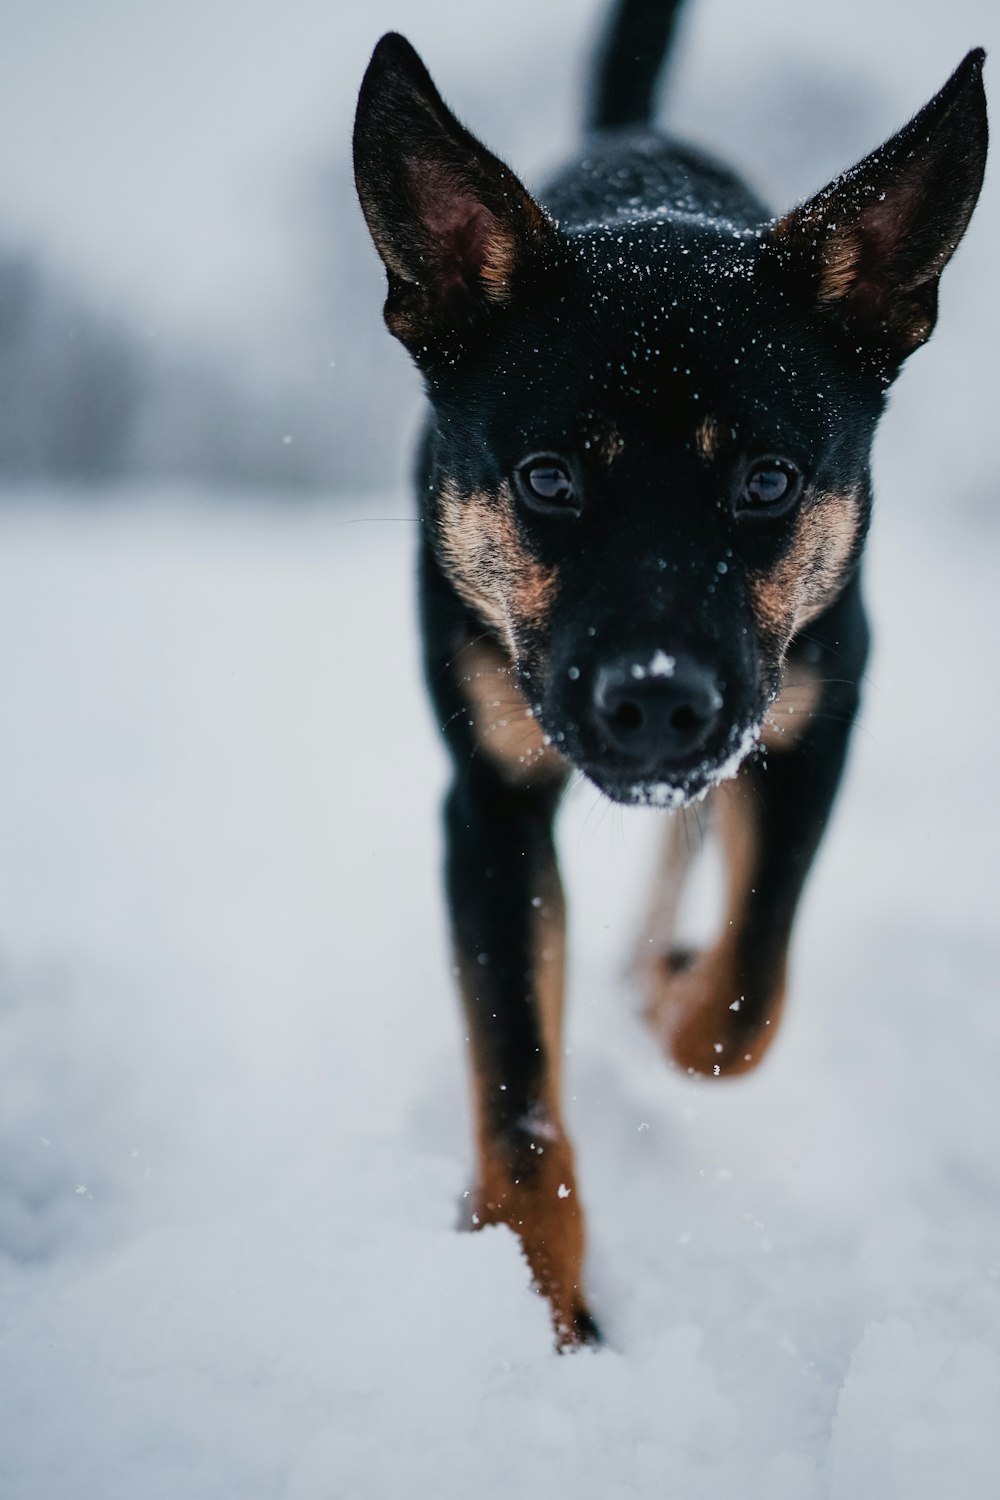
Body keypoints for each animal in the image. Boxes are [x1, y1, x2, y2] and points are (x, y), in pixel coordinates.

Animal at [350, 0, 983, 1350]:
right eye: (547, 478)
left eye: (766, 481)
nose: (653, 700)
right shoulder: (486, 806)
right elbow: (517, 1091)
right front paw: (542, 1310)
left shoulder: (811, 725)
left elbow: (743, 994)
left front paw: (662, 997)